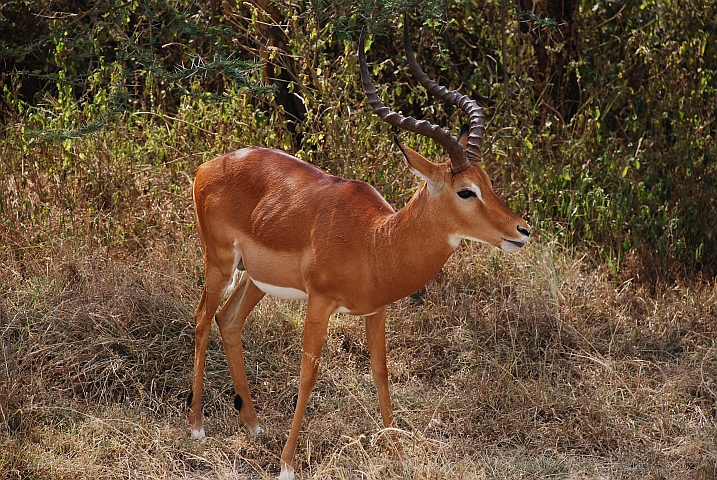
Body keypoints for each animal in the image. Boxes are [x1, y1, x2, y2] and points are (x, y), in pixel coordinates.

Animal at [188, 22, 530, 480]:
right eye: (465, 190)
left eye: (489, 181)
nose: (521, 231)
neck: (375, 241)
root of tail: (208, 166)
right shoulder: (319, 302)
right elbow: (308, 373)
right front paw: (287, 464)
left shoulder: (376, 309)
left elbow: (381, 372)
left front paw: (397, 451)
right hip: (220, 262)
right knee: (201, 319)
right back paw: (196, 427)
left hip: (255, 278)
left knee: (228, 320)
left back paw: (254, 425)